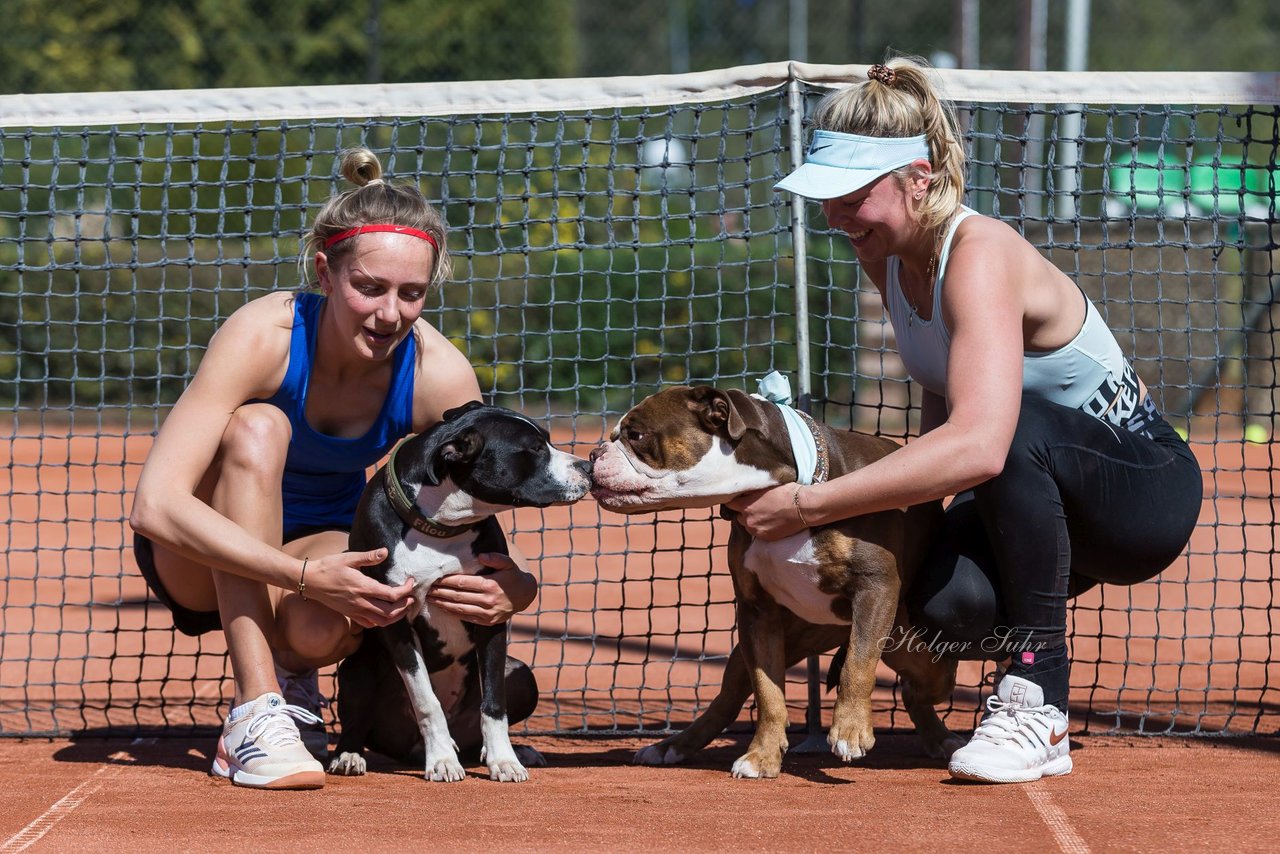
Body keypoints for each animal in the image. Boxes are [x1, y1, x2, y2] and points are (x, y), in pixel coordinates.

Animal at [327, 402, 591, 783]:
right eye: (535, 449)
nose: (588, 466)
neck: (440, 527)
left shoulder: (491, 612)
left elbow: (494, 704)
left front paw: (504, 761)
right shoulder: (395, 619)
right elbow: (426, 700)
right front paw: (440, 760)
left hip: (521, 675)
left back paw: (508, 750)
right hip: (356, 671)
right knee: (357, 722)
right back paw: (350, 755)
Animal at [588, 386, 962, 783]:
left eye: (636, 435)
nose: (594, 453)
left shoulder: (875, 587)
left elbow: (857, 666)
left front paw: (849, 730)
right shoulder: (758, 615)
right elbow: (768, 693)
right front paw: (762, 756)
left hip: (921, 655)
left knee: (914, 686)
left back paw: (939, 740)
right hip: (775, 643)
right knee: (727, 699)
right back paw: (670, 746)